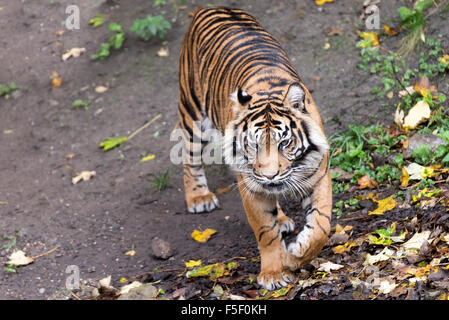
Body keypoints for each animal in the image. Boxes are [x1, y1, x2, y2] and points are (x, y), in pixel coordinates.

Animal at [177, 7, 330, 290]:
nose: (270, 176)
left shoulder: (319, 175)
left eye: (284, 143)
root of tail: (208, 7)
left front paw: (296, 255)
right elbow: (265, 232)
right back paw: (199, 197)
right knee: (188, 156)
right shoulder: (250, 185)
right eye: (252, 144)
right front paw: (274, 273)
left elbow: (321, 225)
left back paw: (282, 219)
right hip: (193, 114)